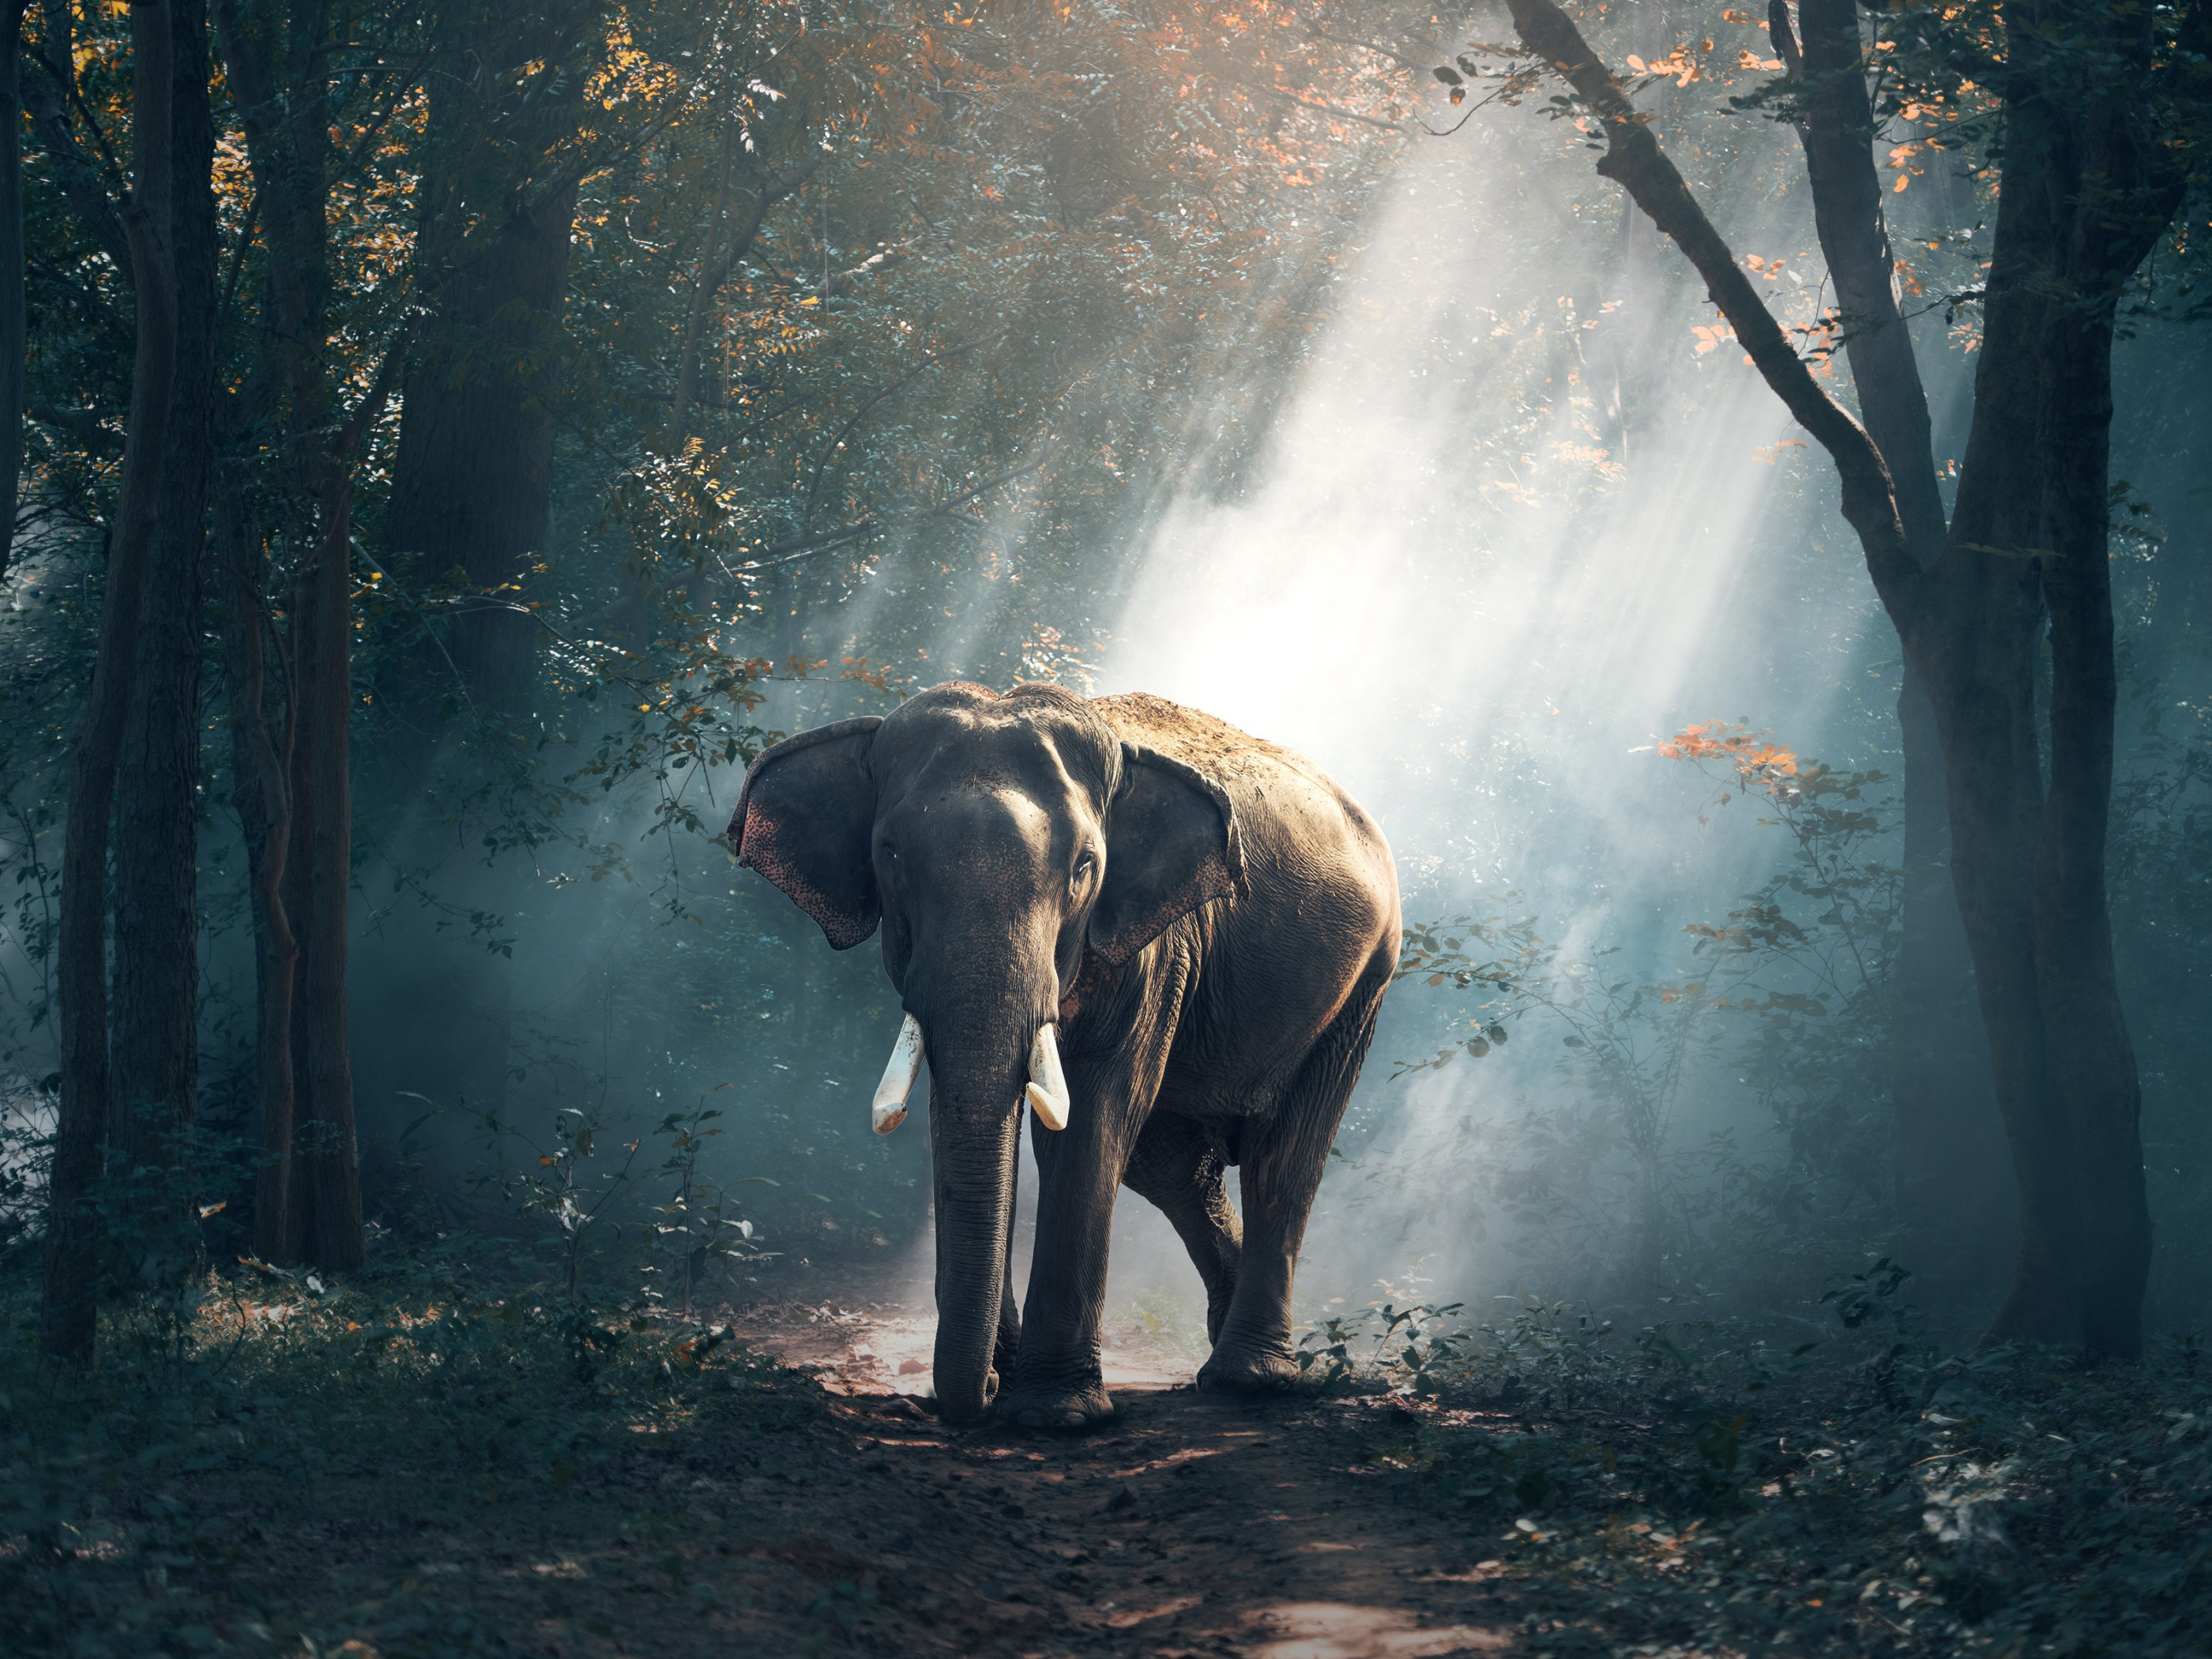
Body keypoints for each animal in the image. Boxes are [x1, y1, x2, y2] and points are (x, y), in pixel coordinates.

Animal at [730, 680, 1398, 1426]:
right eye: (891, 855)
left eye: (1085, 866)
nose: (982, 1392)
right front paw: (1009, 1379)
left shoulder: (1156, 947)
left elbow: (1092, 1118)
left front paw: (1056, 1414)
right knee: (1174, 1167)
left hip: (1363, 986)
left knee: (1283, 1159)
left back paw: (1249, 1379)